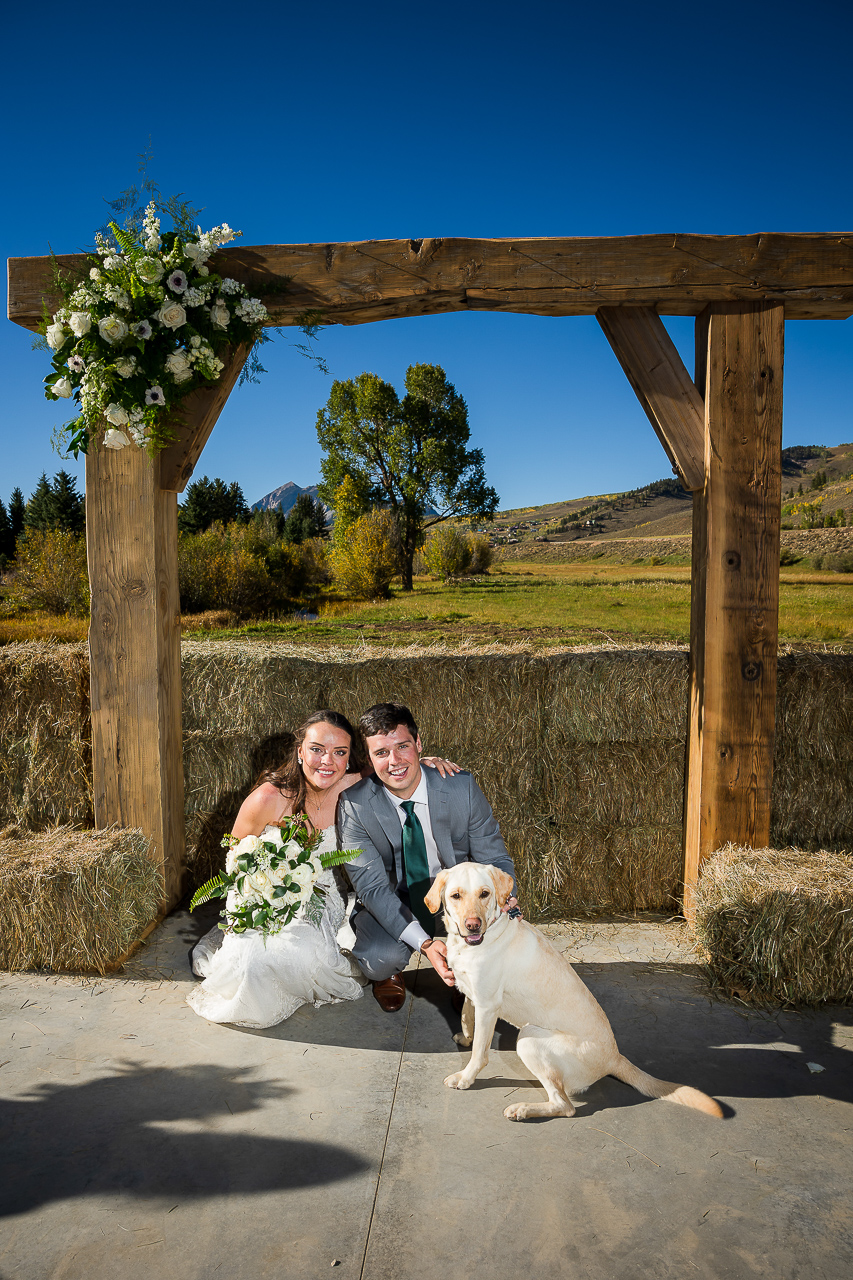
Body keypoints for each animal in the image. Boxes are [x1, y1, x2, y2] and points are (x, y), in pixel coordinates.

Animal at [422, 860, 722, 1121]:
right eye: (456, 896)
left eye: (484, 893)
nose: (473, 925)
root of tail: (614, 1058)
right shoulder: (472, 994)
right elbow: (466, 1018)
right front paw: (465, 1038)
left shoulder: (487, 1005)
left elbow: (479, 1053)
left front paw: (465, 1077)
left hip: (529, 1038)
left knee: (565, 1106)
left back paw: (523, 1109)